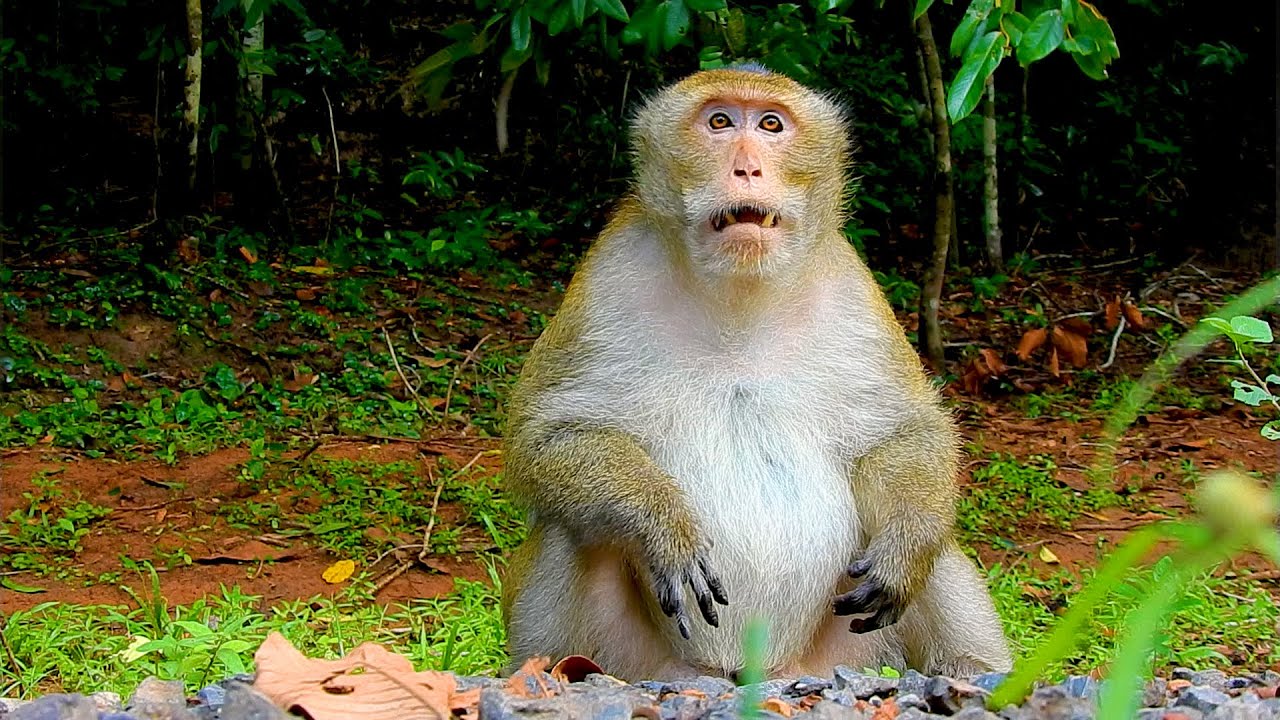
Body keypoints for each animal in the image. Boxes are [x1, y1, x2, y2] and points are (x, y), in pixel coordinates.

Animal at [499, 64, 1012, 682]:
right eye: (720, 122)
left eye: (771, 125)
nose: (747, 168)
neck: (739, 295)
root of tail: (756, 676)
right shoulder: (606, 278)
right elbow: (544, 440)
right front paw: (659, 524)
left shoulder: (852, 287)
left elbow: (903, 431)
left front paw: (906, 544)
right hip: (643, 664)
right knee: (570, 528)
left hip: (845, 653)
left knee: (942, 548)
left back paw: (974, 668)